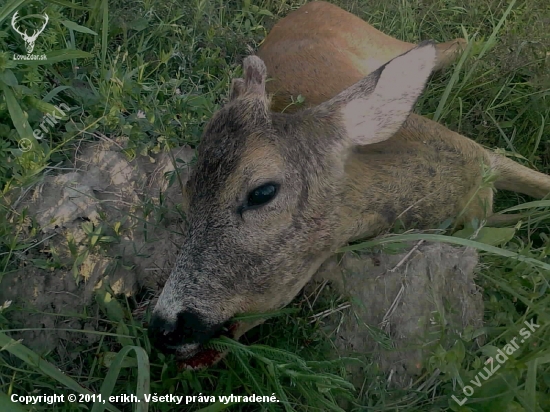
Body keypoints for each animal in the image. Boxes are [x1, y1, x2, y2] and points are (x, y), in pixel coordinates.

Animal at [149, 2, 550, 370]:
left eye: (262, 192)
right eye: (188, 196)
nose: (163, 329)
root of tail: (308, 6)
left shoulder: (486, 157)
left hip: (380, 40)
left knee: (448, 44)